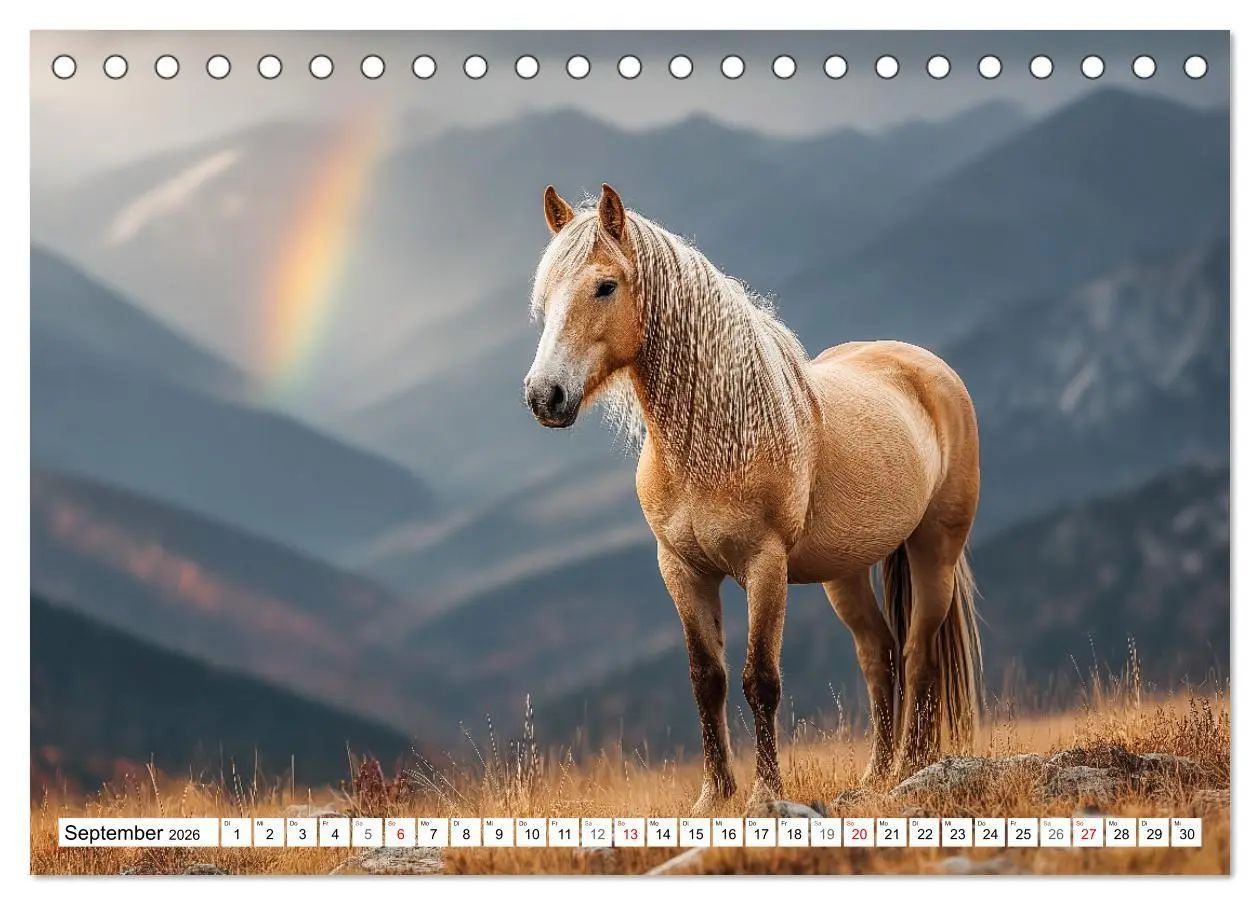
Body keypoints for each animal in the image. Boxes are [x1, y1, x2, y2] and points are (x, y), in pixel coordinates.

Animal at [523, 183, 982, 812]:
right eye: (545, 295)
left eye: (605, 286)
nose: (544, 396)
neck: (713, 440)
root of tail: (928, 368)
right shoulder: (682, 569)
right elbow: (707, 679)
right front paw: (713, 797)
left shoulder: (764, 566)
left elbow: (759, 680)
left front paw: (765, 793)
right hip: (846, 572)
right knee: (878, 653)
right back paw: (876, 777)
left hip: (933, 549)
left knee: (917, 652)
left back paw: (913, 765)